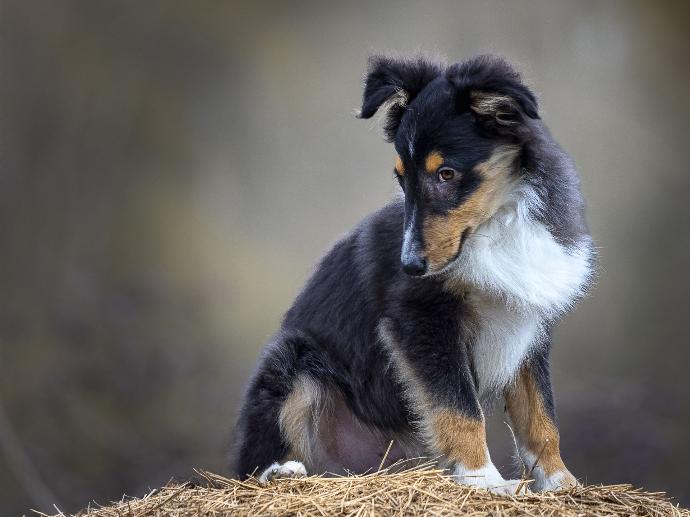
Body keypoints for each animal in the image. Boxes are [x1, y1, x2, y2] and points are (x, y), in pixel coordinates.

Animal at [230, 54, 592, 494]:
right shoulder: (420, 318)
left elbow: (540, 415)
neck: (497, 224)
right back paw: (281, 472)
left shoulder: (527, 321)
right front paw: (484, 480)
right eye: (401, 177)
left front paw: (562, 483)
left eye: (446, 174)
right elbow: (460, 406)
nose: (410, 266)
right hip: (292, 360)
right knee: (252, 462)